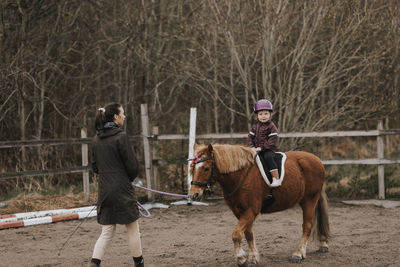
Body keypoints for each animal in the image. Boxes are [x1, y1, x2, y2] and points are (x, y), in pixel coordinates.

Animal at [189, 144, 330, 267]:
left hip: (309, 200)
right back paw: (322, 244)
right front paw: (253, 258)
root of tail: (317, 159)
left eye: (206, 168)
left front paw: (241, 259)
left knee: (307, 225)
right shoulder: (239, 211)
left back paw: (299, 253)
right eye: (193, 168)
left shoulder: (251, 211)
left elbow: (236, 234)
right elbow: (248, 234)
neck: (240, 175)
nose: (193, 194)